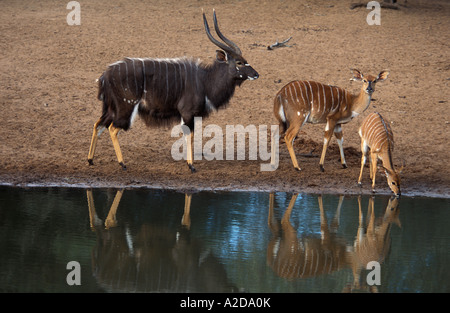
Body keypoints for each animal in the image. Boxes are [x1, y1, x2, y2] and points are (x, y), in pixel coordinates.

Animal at [88, 10, 258, 171]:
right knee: (112, 128)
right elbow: (190, 135)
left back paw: (90, 160)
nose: (256, 74)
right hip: (126, 107)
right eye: (239, 62)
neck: (204, 80)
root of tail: (105, 75)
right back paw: (122, 163)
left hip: (111, 108)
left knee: (98, 124)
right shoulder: (187, 113)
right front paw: (191, 165)